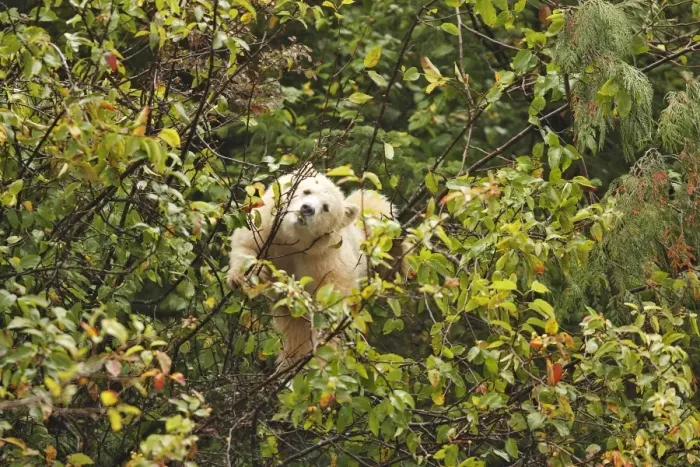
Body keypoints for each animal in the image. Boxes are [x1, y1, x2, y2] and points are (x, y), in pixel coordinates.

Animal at [226, 165, 399, 371]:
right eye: (307, 191)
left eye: (326, 208)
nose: (307, 209)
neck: (292, 240)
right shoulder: (267, 225)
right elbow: (247, 244)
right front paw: (243, 277)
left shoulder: (325, 259)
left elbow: (330, 303)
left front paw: (321, 355)